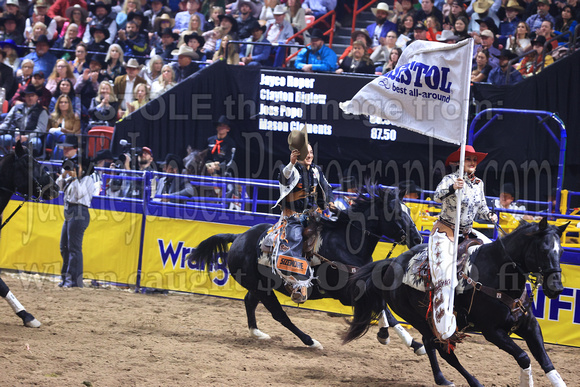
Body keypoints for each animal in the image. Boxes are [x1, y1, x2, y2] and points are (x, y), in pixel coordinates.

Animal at [191, 187, 426, 352]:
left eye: (408, 210)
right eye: (395, 212)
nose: (417, 238)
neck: (345, 244)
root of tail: (239, 237)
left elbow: (383, 308)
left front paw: (406, 341)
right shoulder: (348, 292)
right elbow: (384, 309)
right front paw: (404, 341)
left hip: (261, 286)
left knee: (249, 301)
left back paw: (257, 333)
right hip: (263, 290)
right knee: (280, 315)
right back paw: (311, 341)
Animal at [346, 218, 568, 387]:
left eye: (561, 252)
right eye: (543, 249)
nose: (556, 287)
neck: (498, 275)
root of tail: (391, 264)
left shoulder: (529, 325)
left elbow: (546, 361)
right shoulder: (492, 331)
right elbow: (524, 357)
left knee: (431, 345)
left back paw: (441, 379)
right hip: (419, 320)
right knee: (443, 351)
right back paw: (472, 382)